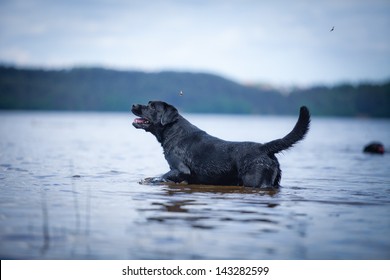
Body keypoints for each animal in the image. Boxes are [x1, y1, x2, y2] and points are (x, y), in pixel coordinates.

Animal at [133, 100, 310, 188]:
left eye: (151, 106)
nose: (133, 105)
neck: (173, 131)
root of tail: (264, 147)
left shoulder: (181, 169)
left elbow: (163, 176)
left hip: (256, 181)